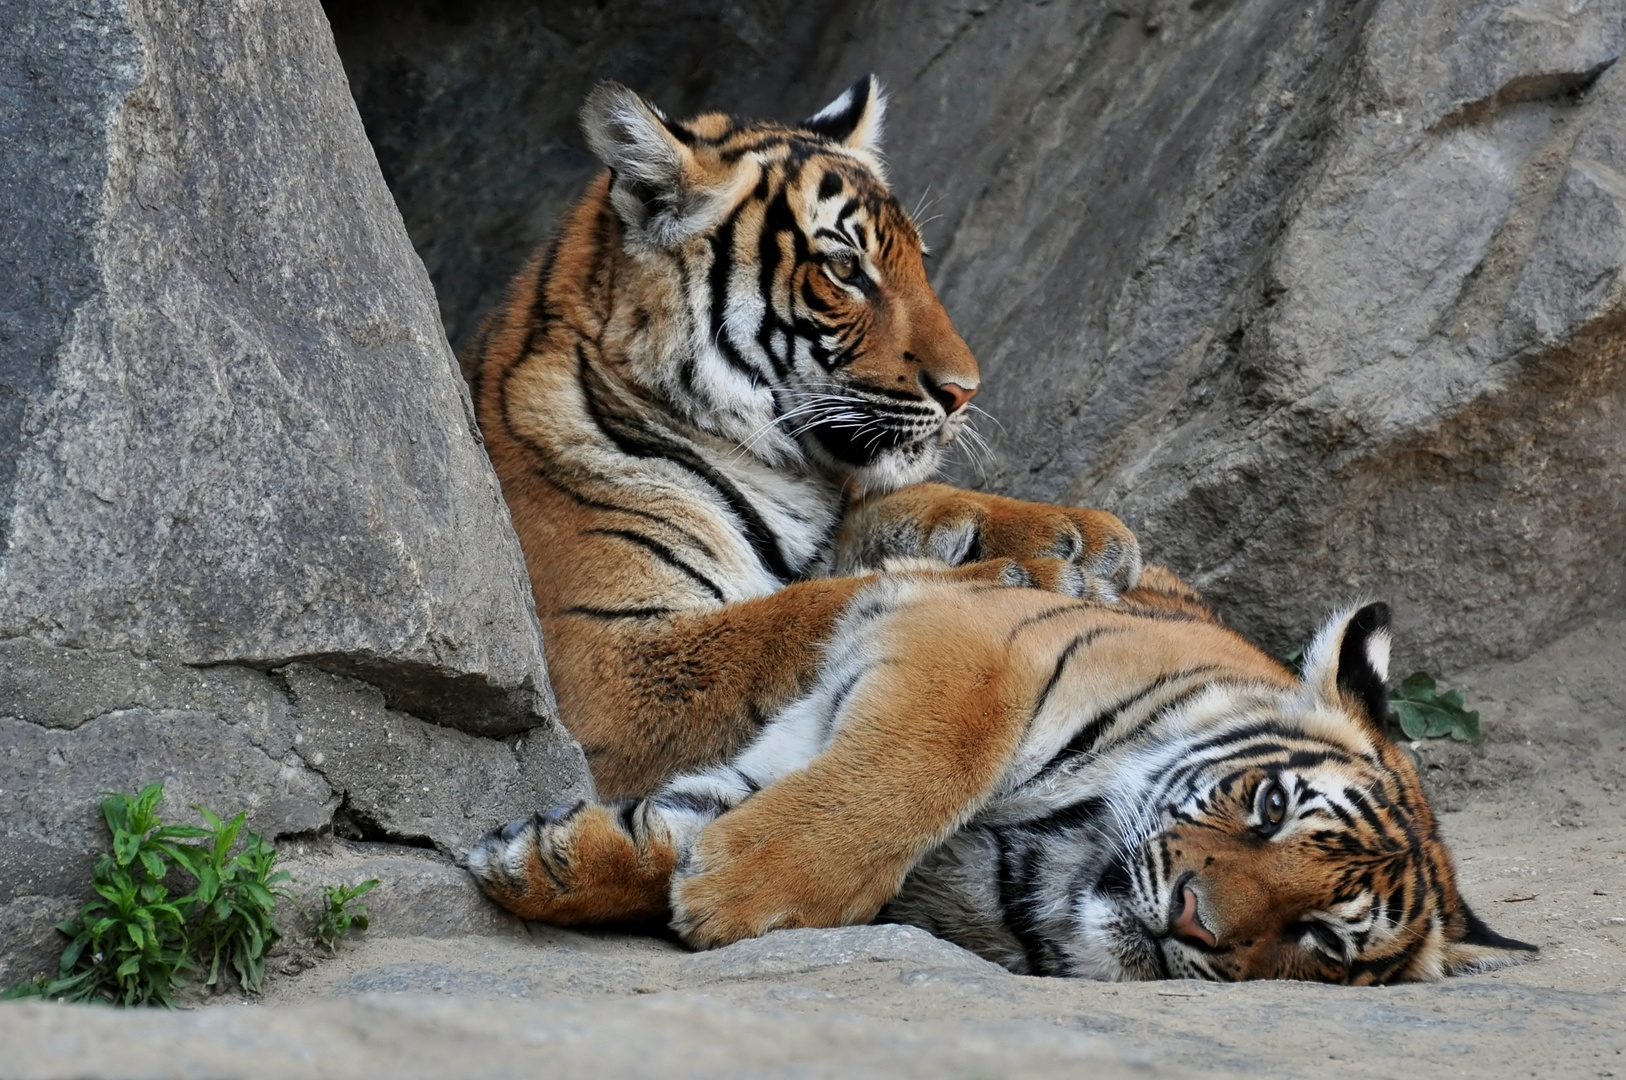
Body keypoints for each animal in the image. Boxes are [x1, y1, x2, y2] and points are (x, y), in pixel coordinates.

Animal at [461, 78, 1534, 988]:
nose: (964, 390)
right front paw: (1019, 578)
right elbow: (804, 618)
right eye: (844, 268)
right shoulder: (609, 664)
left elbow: (880, 537)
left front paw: (1069, 537)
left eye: (917, 265)